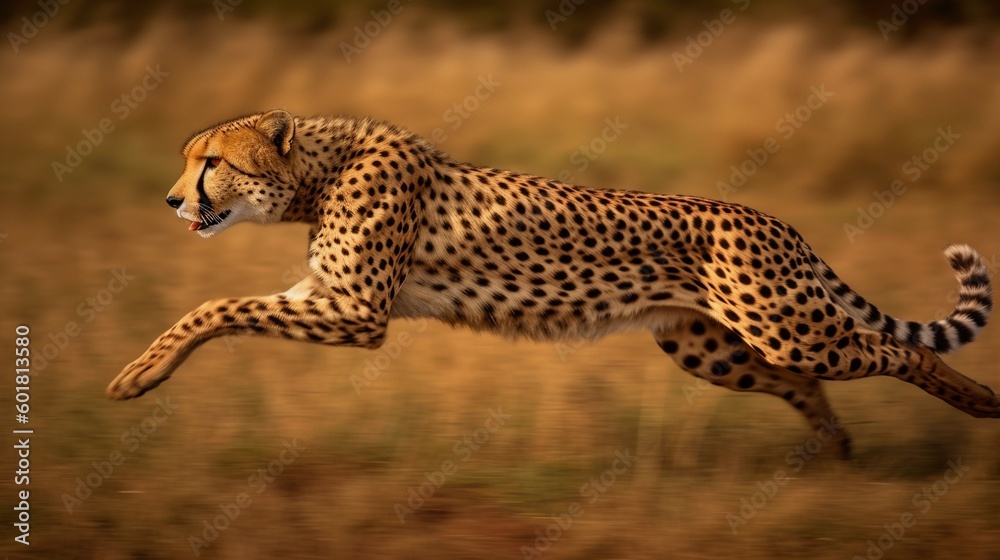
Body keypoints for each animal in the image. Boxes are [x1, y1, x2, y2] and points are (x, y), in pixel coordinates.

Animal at [106, 109, 999, 458]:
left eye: (210, 161)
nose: (173, 200)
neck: (320, 171)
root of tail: (771, 218)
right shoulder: (324, 298)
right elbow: (210, 309)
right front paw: (140, 372)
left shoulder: (357, 312)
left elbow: (217, 304)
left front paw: (135, 376)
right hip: (711, 346)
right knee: (807, 381)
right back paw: (835, 445)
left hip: (786, 323)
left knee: (896, 349)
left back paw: (980, 400)